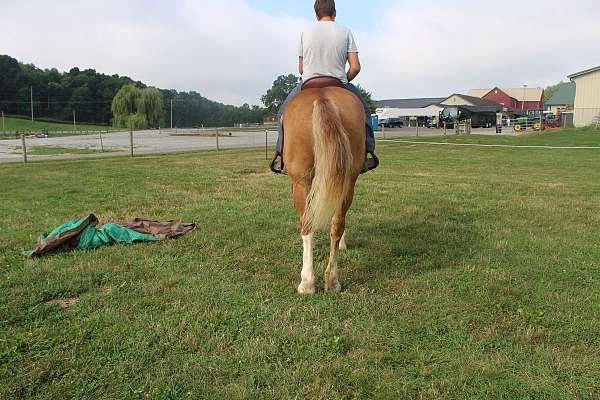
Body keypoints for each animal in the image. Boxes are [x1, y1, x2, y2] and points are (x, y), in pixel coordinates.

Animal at [282, 78, 366, 294]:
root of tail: (322, 97)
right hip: (348, 180)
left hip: (301, 182)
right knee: (337, 224)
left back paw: (307, 282)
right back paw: (332, 280)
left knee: (307, 224)